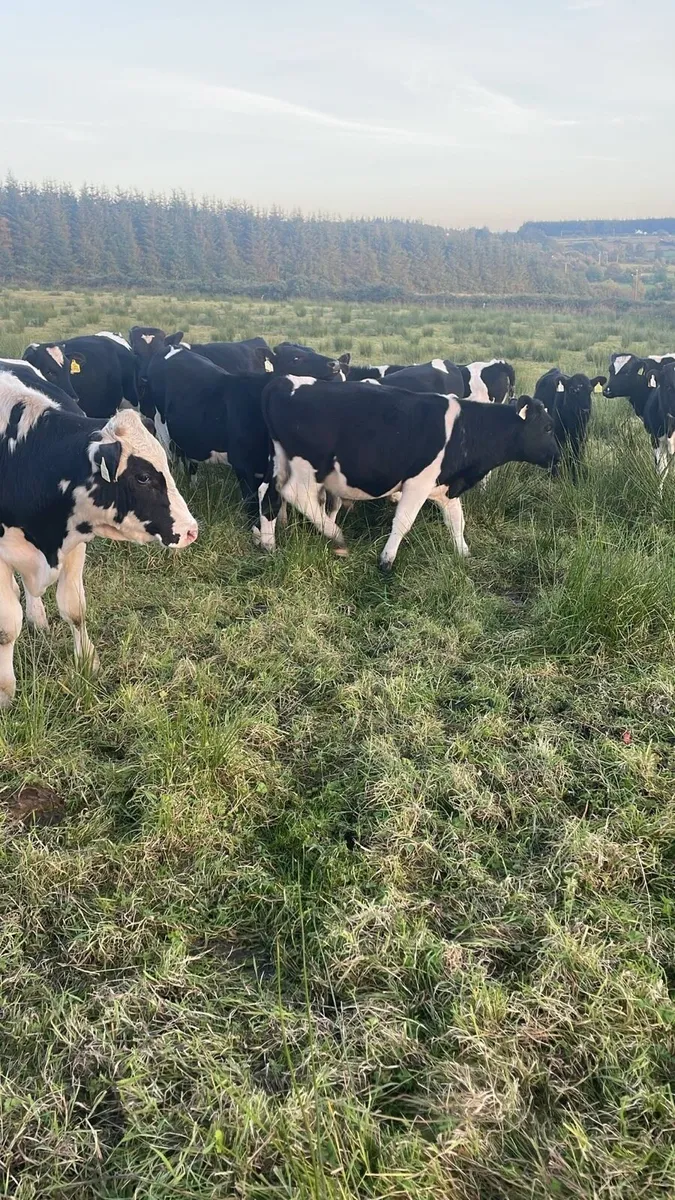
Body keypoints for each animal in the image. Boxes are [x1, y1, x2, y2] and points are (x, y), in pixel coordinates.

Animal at [0, 373, 198, 706]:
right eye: (143, 477)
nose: (190, 530)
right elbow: (6, 629)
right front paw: (5, 691)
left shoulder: (74, 544)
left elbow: (75, 609)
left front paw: (87, 662)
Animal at [261, 378, 559, 569]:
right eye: (547, 427)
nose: (557, 457)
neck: (466, 428)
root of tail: (282, 383)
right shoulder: (418, 483)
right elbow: (403, 522)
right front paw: (386, 561)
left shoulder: (444, 488)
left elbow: (457, 521)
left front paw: (463, 553)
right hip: (307, 466)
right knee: (296, 494)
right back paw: (334, 532)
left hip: (278, 461)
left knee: (268, 496)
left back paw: (268, 544)